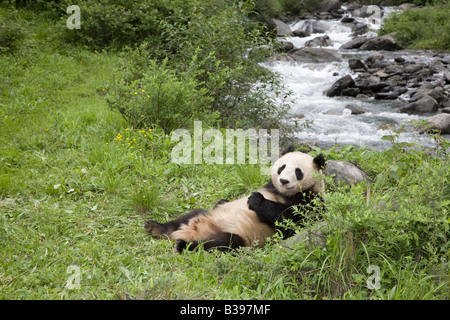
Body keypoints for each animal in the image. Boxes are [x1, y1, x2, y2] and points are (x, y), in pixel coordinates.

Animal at [146, 145, 326, 252]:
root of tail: (192, 231)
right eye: (282, 167)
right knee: (189, 215)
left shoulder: (312, 202)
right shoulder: (270, 186)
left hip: (241, 236)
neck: (283, 193)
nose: (283, 181)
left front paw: (256, 200)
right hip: (202, 215)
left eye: (298, 172)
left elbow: (292, 220)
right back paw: (155, 227)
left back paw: (184, 245)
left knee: (222, 242)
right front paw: (222, 201)